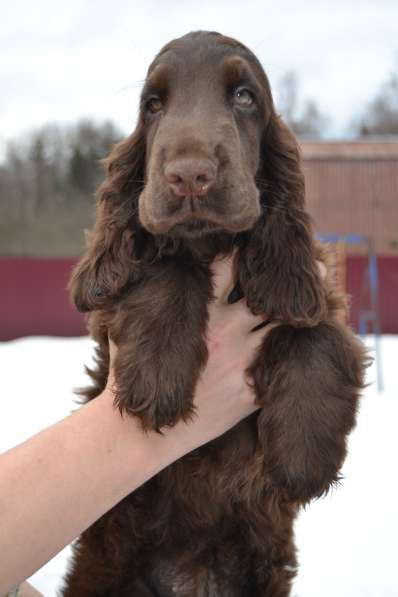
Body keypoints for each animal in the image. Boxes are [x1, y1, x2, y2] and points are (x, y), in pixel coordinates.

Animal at [63, 31, 366, 596]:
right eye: (153, 105)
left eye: (244, 97)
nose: (189, 176)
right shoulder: (111, 298)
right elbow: (167, 264)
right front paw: (157, 378)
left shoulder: (313, 284)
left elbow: (316, 328)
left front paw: (304, 456)